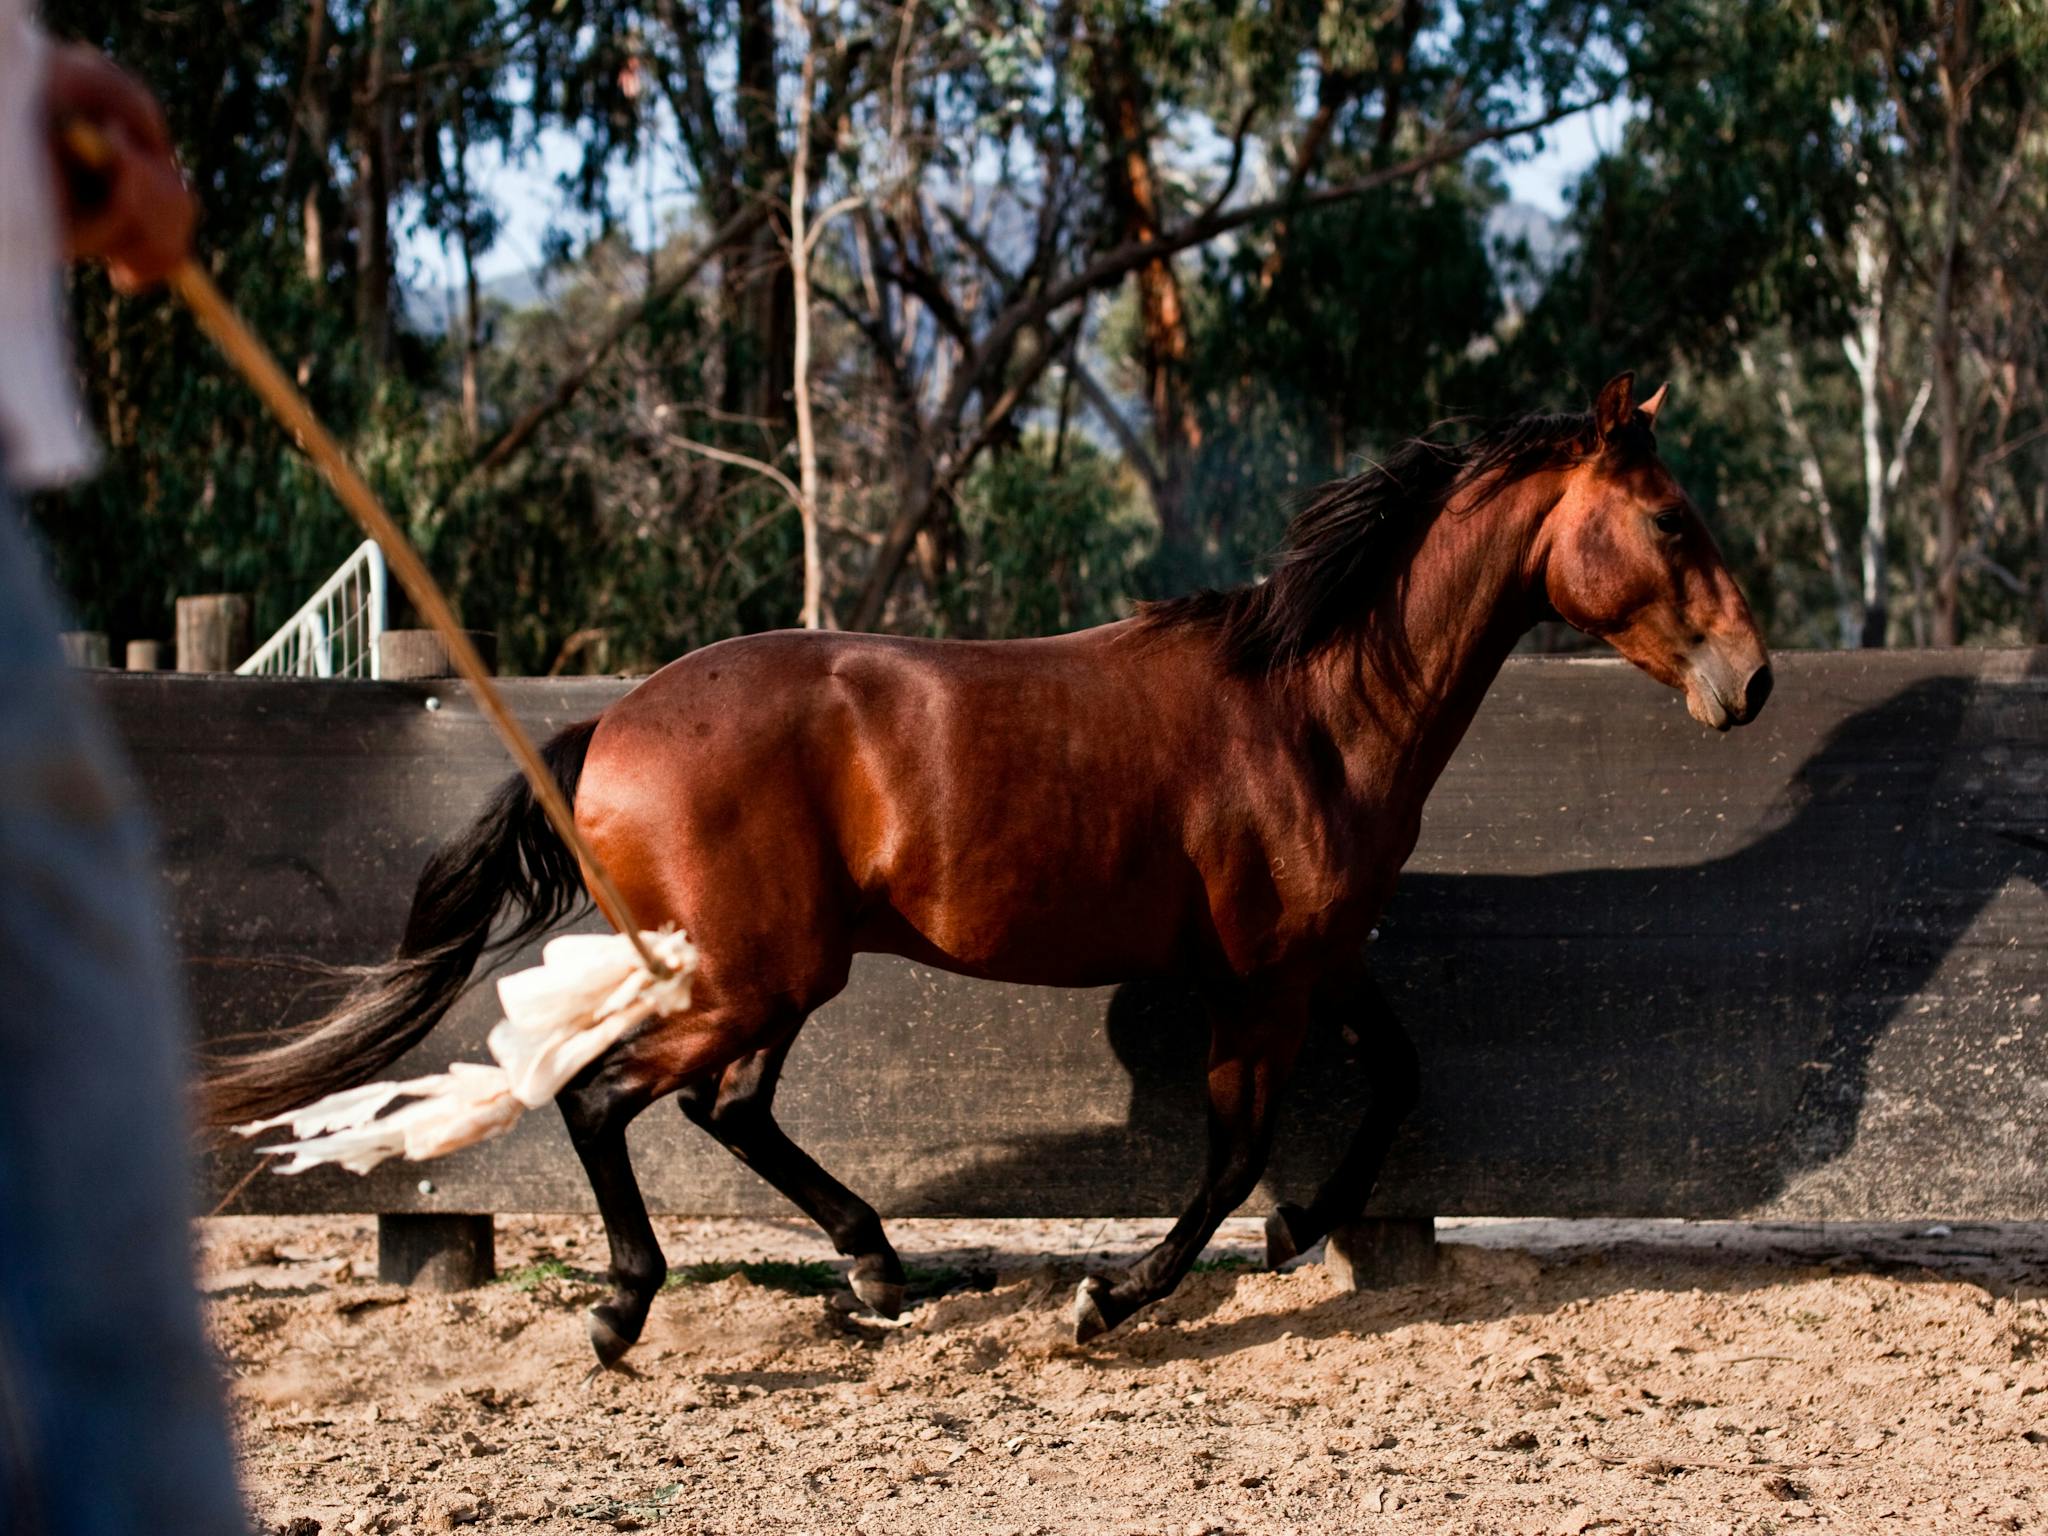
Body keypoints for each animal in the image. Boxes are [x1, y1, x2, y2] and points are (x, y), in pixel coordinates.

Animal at [211, 376, 1777, 1368]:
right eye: (1673, 520)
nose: (1751, 681)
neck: (1315, 708)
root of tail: (607, 726)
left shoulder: (1317, 963)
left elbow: (1392, 1082)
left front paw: (1299, 1230)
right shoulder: (1260, 984)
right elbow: (1233, 1150)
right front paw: (1110, 1300)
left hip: (776, 979)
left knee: (729, 1107)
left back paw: (873, 1267)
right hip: (753, 975)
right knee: (608, 1098)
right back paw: (625, 1310)